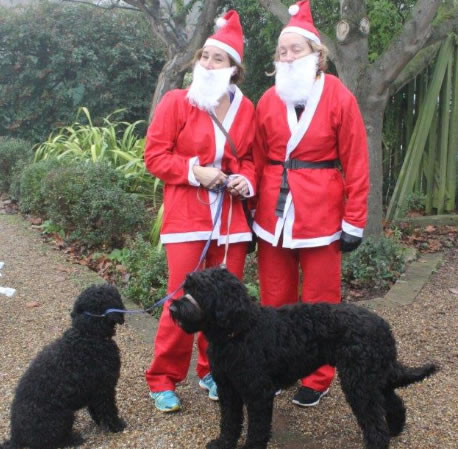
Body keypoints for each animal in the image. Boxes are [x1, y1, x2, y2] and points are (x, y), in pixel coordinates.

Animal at [0, 284, 126, 448]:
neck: (87, 335)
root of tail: (16, 437)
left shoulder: (94, 392)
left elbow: (96, 410)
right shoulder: (104, 389)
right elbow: (108, 410)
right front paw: (117, 426)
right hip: (63, 417)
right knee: (54, 442)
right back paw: (75, 439)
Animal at [170, 266, 438, 448]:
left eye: (201, 291)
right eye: (187, 287)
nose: (172, 308)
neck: (239, 332)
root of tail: (383, 327)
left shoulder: (258, 394)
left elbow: (257, 428)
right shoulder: (228, 389)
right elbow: (229, 422)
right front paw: (223, 443)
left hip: (358, 383)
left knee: (375, 425)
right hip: (371, 379)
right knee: (393, 402)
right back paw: (395, 428)